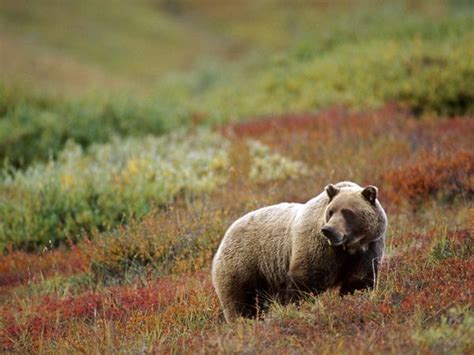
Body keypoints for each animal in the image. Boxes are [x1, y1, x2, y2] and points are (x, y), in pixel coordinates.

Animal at [213, 181, 386, 322]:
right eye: (331, 211)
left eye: (347, 212)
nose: (328, 230)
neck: (348, 248)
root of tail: (226, 234)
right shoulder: (318, 248)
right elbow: (305, 282)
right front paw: (299, 308)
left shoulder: (366, 251)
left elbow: (358, 284)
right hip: (245, 264)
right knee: (240, 301)